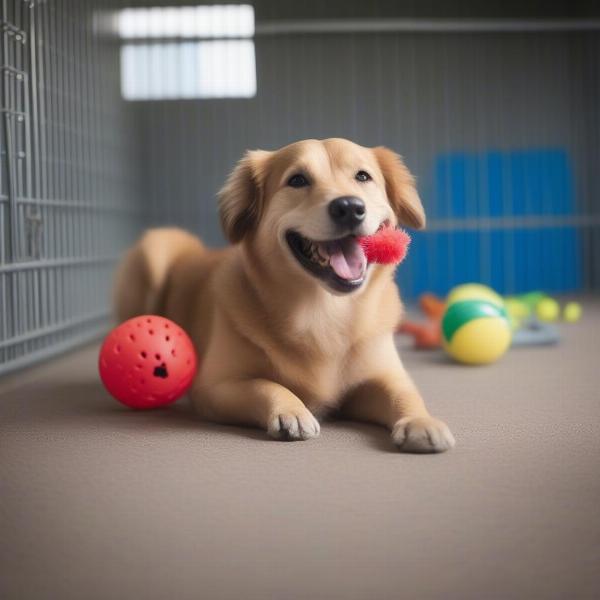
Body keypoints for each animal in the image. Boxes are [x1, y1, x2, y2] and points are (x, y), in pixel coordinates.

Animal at [115, 138, 454, 452]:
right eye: (298, 180)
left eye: (362, 176)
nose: (349, 207)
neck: (323, 311)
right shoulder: (213, 387)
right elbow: (265, 385)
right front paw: (291, 410)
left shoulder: (379, 378)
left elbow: (403, 393)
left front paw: (420, 421)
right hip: (156, 247)